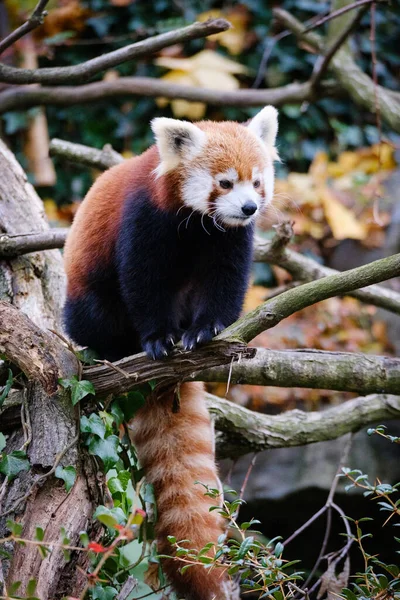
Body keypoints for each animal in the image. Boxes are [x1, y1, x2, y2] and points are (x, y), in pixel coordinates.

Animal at [64, 108, 280, 600]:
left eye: (257, 183)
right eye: (224, 183)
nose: (249, 208)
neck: (196, 225)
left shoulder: (228, 241)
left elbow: (225, 284)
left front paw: (205, 330)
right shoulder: (145, 221)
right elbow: (143, 282)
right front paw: (159, 338)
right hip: (84, 295)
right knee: (94, 312)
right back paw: (115, 350)